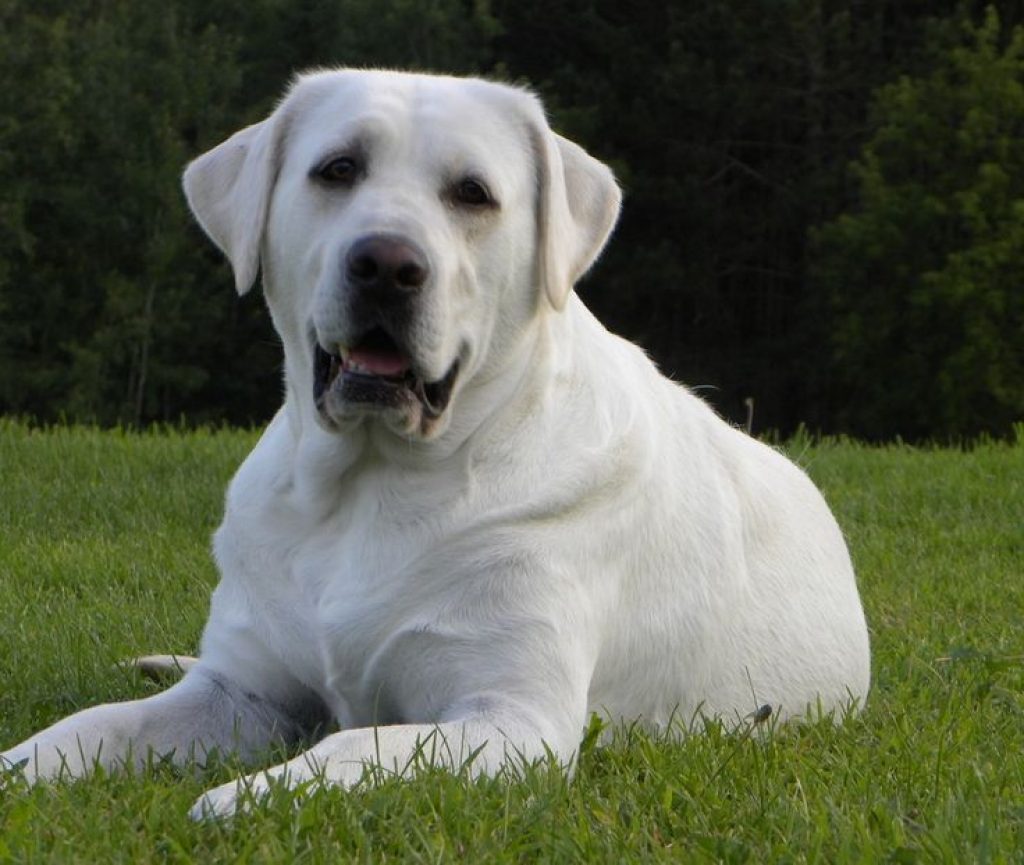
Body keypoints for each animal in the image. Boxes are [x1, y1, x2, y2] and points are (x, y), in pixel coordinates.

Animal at [0, 69, 868, 814]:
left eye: (473, 193)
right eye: (338, 169)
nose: (387, 263)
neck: (370, 483)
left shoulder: (511, 719)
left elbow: (357, 742)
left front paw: (243, 796)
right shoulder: (240, 690)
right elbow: (95, 722)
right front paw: (21, 764)